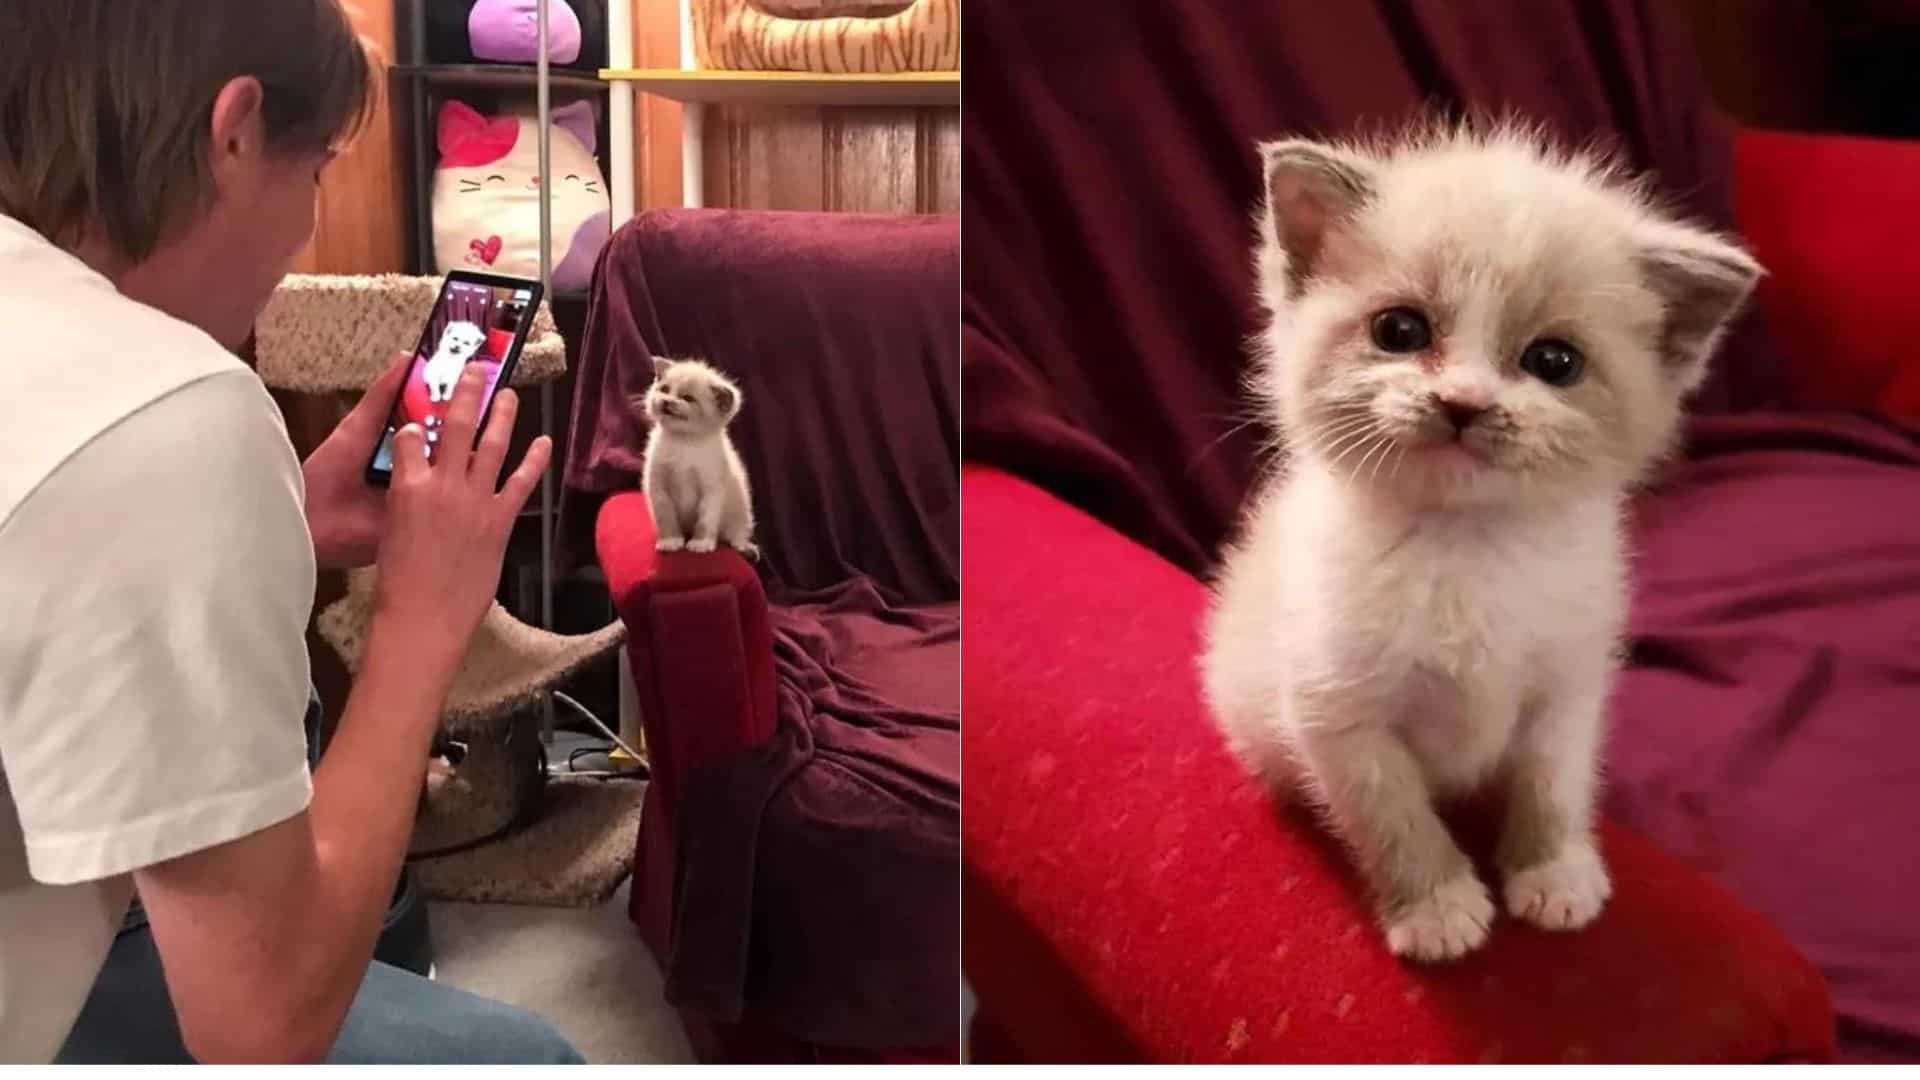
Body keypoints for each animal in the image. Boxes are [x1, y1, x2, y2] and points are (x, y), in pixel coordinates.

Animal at [648, 355, 760, 553]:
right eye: (665, 389)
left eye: (688, 398)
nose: (667, 401)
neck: (684, 441)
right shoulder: (658, 487)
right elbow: (665, 516)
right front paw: (670, 541)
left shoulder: (712, 489)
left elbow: (705, 520)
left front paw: (700, 543)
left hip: (741, 514)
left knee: (738, 532)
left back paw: (744, 547)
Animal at [1198, 117, 1758, 957]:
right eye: (1399, 330)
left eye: (1554, 361)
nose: (1462, 402)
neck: (1466, 548)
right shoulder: (1337, 710)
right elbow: (1390, 811)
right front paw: (1436, 906)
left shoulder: (1567, 683)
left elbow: (1552, 781)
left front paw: (1554, 873)